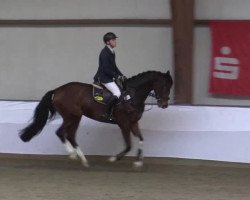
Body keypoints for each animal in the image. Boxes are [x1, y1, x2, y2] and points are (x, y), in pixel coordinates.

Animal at [19, 70, 173, 167]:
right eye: (165, 86)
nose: (164, 104)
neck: (132, 95)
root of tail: (57, 91)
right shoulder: (124, 123)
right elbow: (128, 145)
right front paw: (113, 158)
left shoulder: (133, 122)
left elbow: (141, 139)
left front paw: (139, 162)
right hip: (72, 116)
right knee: (61, 133)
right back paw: (73, 154)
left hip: (75, 117)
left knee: (70, 135)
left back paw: (83, 160)